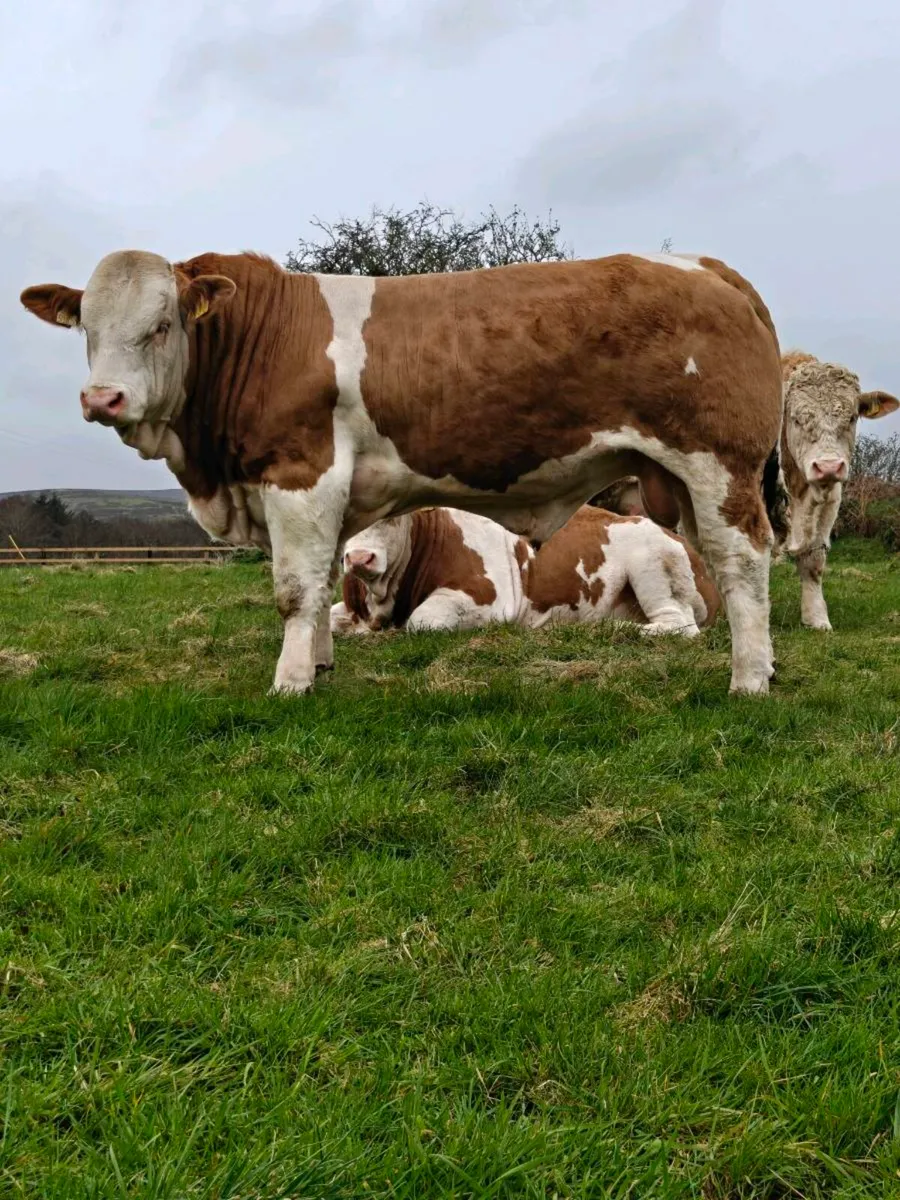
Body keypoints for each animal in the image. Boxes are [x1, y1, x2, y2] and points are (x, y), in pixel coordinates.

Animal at [331, 504, 720, 638]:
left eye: (393, 517)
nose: (359, 558)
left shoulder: (490, 599)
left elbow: (422, 621)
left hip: (651, 564)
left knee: (679, 626)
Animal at [778, 351, 899, 630]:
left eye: (852, 418)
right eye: (796, 418)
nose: (829, 466)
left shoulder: (830, 502)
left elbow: (813, 561)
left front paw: (816, 618)